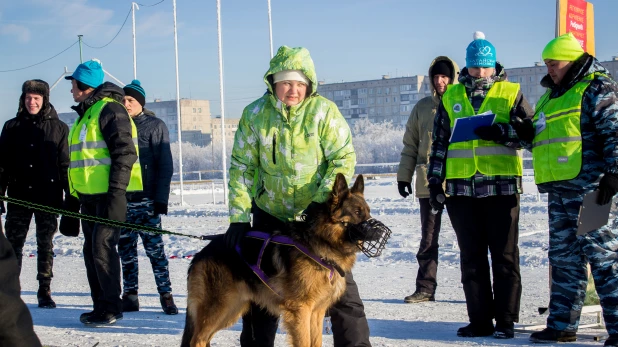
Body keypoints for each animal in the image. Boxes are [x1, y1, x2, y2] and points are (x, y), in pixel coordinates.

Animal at [180, 174, 380, 347]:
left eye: (368, 212)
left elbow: (316, 342)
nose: (379, 232)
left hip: (232, 309)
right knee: (197, 340)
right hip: (220, 308)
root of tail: (200, 254)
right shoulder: (301, 311)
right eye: (357, 212)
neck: (321, 241)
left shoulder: (317, 313)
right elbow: (304, 342)